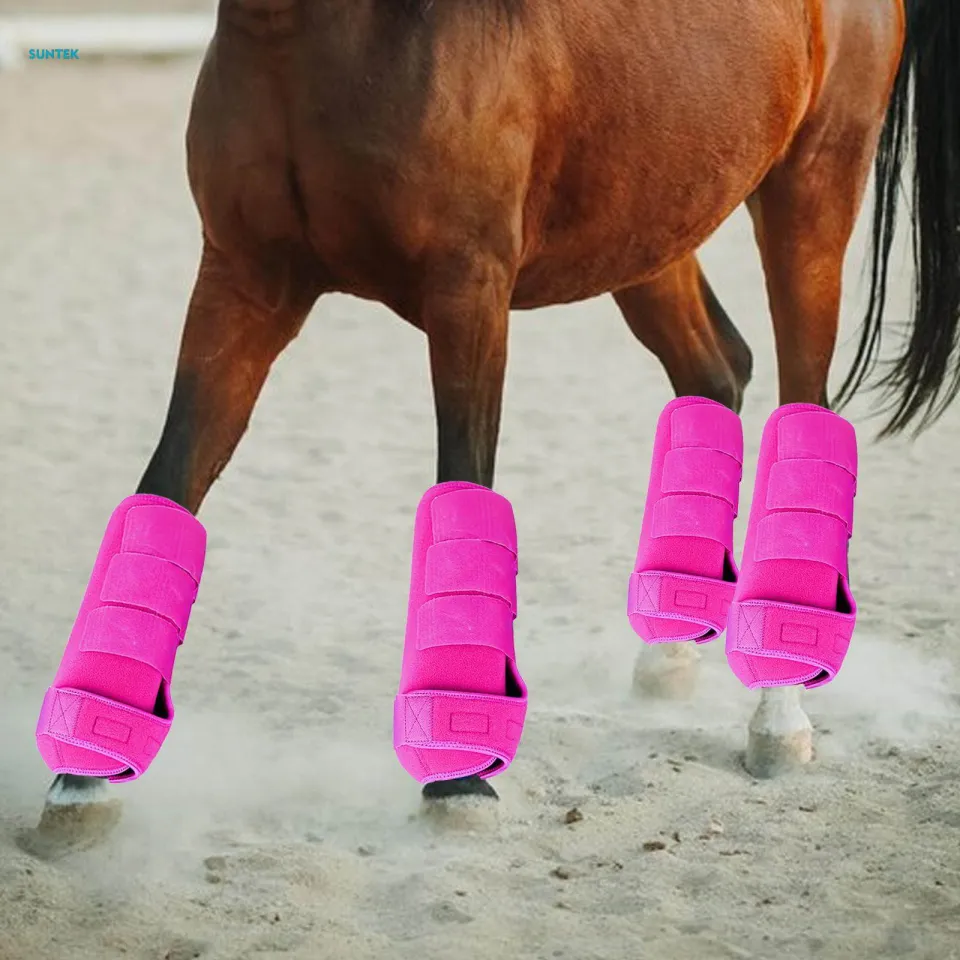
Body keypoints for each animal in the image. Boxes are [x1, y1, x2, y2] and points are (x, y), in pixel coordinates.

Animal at [30, 0, 960, 853]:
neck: (324, 34)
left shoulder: (468, 293)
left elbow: (464, 483)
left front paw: (460, 781)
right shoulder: (244, 281)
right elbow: (167, 485)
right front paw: (83, 781)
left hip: (811, 193)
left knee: (805, 407)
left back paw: (779, 713)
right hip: (653, 227)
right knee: (715, 372)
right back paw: (671, 652)